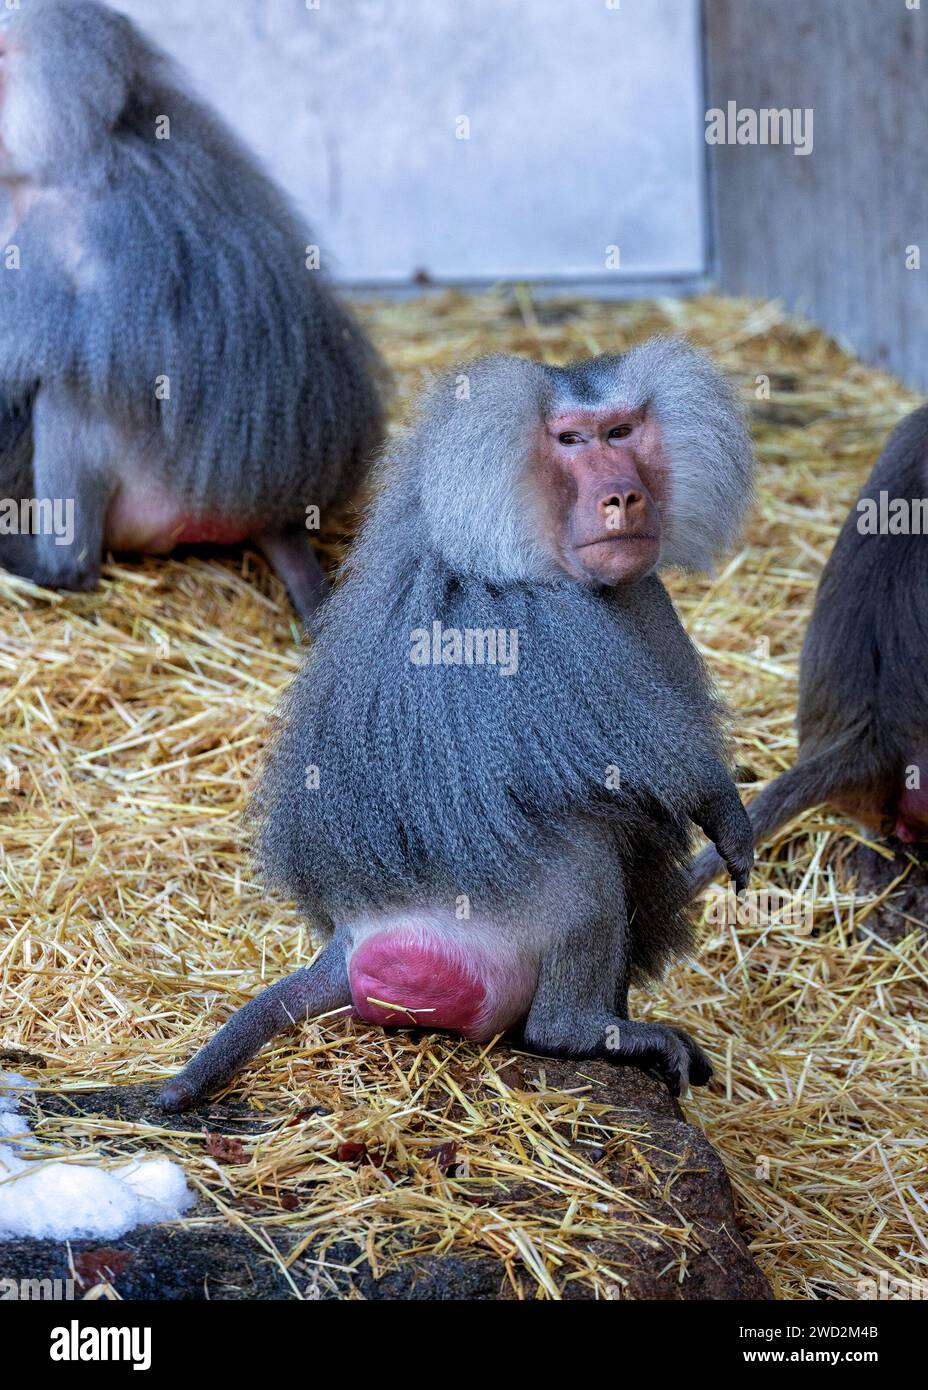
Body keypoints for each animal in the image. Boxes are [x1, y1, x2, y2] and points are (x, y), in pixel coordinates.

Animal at [159, 338, 756, 1113]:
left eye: (622, 432)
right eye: (571, 441)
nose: (623, 498)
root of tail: (347, 941)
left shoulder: (644, 595)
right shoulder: (536, 632)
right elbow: (649, 765)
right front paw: (728, 814)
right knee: (584, 838)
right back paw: (586, 1033)